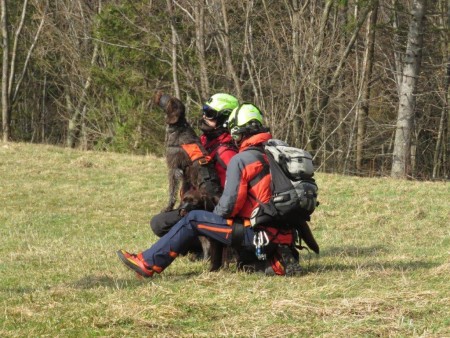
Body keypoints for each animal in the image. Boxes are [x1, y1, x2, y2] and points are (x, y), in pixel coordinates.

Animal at [154, 91, 225, 270]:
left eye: (166, 97)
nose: (158, 92)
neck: (178, 127)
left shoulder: (173, 169)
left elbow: (172, 192)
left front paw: (167, 208)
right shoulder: (185, 176)